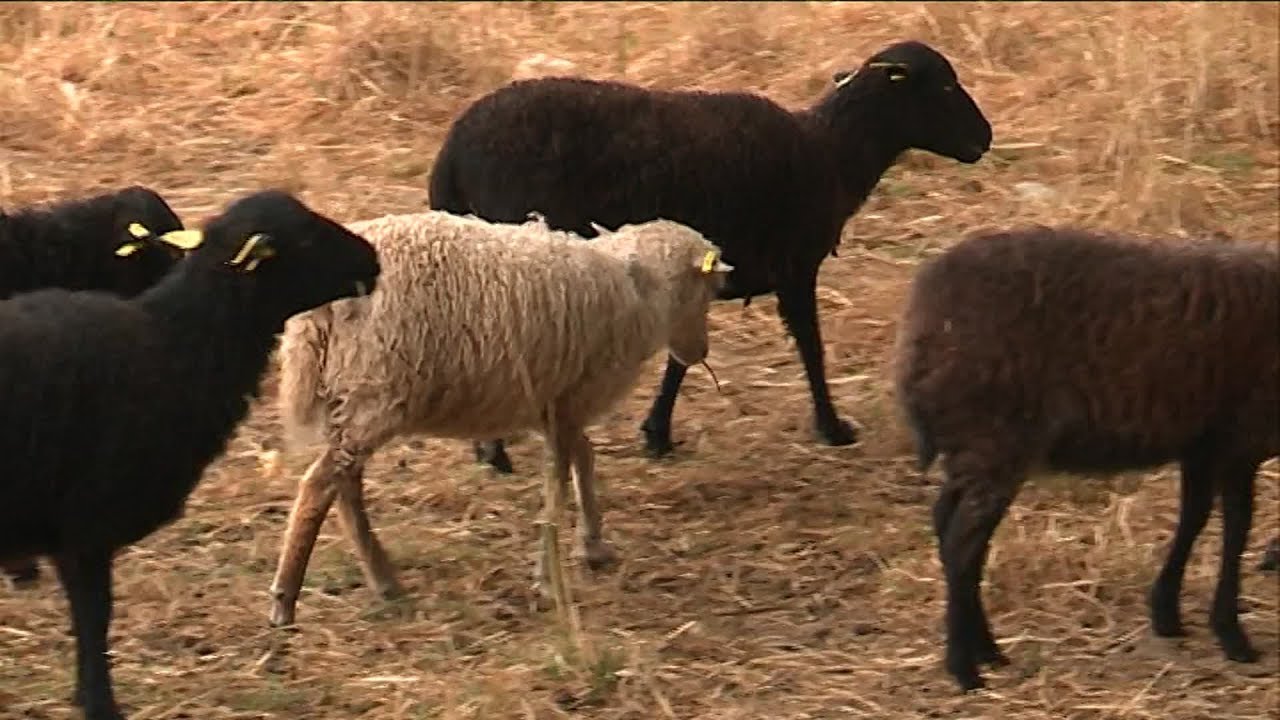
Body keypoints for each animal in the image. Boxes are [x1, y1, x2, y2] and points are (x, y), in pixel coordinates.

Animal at [266, 211, 733, 628]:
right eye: (708, 291)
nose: (700, 353)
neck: (639, 289)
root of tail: (317, 314)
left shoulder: (560, 403)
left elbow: (583, 460)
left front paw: (593, 545)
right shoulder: (570, 400)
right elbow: (558, 485)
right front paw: (549, 580)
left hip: (350, 399)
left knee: (345, 486)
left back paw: (384, 582)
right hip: (372, 394)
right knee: (319, 486)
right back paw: (285, 600)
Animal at [428, 38, 994, 474]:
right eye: (945, 87)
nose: (985, 139)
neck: (830, 154)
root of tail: (454, 147)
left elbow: (682, 360)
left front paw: (657, 433)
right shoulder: (794, 267)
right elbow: (811, 348)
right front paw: (833, 428)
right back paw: (497, 450)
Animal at [893, 225, 1279, 691]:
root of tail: (923, 321)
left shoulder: (1201, 442)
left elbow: (1194, 517)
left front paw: (1167, 613)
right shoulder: (1241, 440)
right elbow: (1236, 531)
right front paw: (1232, 635)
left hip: (970, 448)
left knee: (949, 527)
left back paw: (987, 651)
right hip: (995, 442)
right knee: (961, 544)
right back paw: (964, 670)